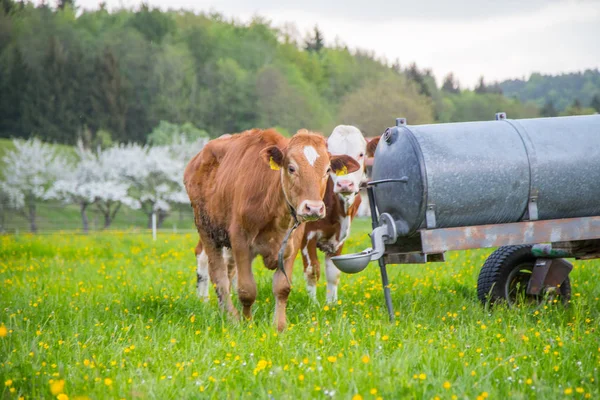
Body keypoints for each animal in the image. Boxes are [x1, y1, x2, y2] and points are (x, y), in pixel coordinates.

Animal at [185, 128, 358, 332]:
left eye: (327, 170)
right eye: (291, 168)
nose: (314, 208)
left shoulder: (291, 245)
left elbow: (282, 288)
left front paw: (279, 326)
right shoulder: (240, 242)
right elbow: (246, 289)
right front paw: (247, 323)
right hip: (208, 232)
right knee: (219, 277)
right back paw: (231, 316)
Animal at [300, 123, 370, 302]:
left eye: (361, 154)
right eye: (330, 157)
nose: (344, 184)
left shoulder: (340, 237)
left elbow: (334, 272)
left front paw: (331, 304)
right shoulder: (306, 236)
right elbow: (312, 271)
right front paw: (313, 304)